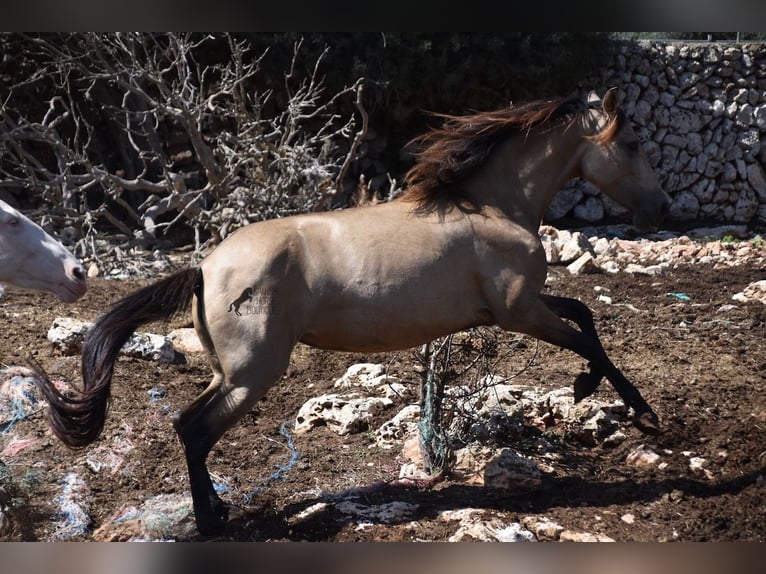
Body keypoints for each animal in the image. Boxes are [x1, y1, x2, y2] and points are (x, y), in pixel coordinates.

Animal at [33, 87, 670, 536]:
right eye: (634, 144)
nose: (662, 208)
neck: (490, 203)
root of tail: (205, 268)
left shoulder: (515, 308)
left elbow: (584, 313)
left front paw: (610, 398)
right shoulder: (519, 310)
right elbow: (586, 337)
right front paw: (628, 407)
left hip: (229, 372)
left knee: (191, 426)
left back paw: (217, 509)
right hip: (253, 374)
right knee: (195, 428)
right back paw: (213, 520)